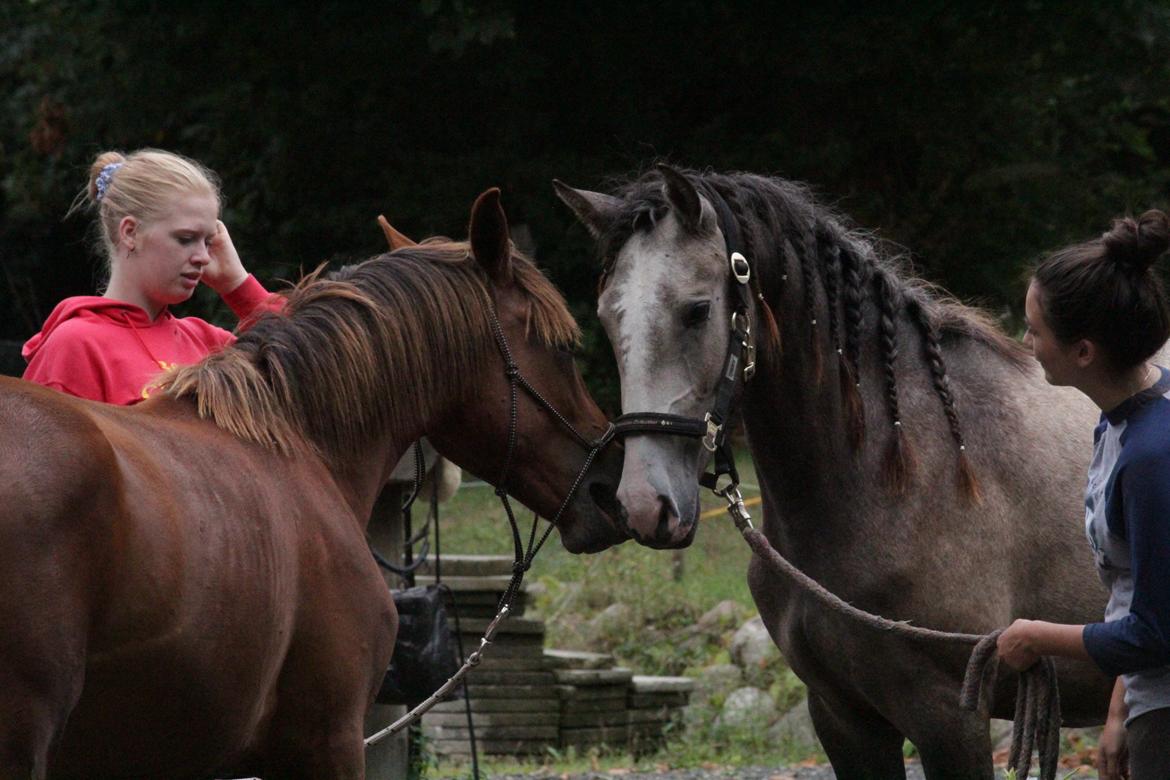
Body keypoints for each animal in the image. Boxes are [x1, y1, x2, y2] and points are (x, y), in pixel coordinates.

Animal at [556, 169, 1113, 780]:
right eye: (606, 316)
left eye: (697, 310)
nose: (643, 504)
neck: (903, 475)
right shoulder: (841, 716)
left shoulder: (951, 719)